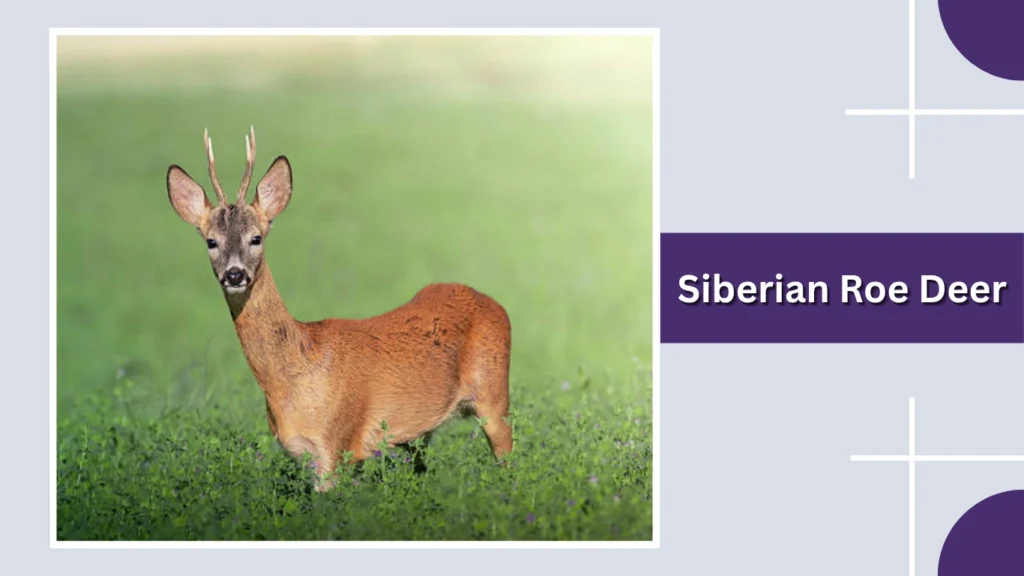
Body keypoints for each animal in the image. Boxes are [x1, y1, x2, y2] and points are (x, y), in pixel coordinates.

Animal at [166, 126, 514, 492]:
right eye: (211, 241)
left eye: (256, 238)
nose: (234, 274)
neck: (297, 373)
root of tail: (493, 302)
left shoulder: (335, 445)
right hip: (420, 432)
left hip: (495, 397)